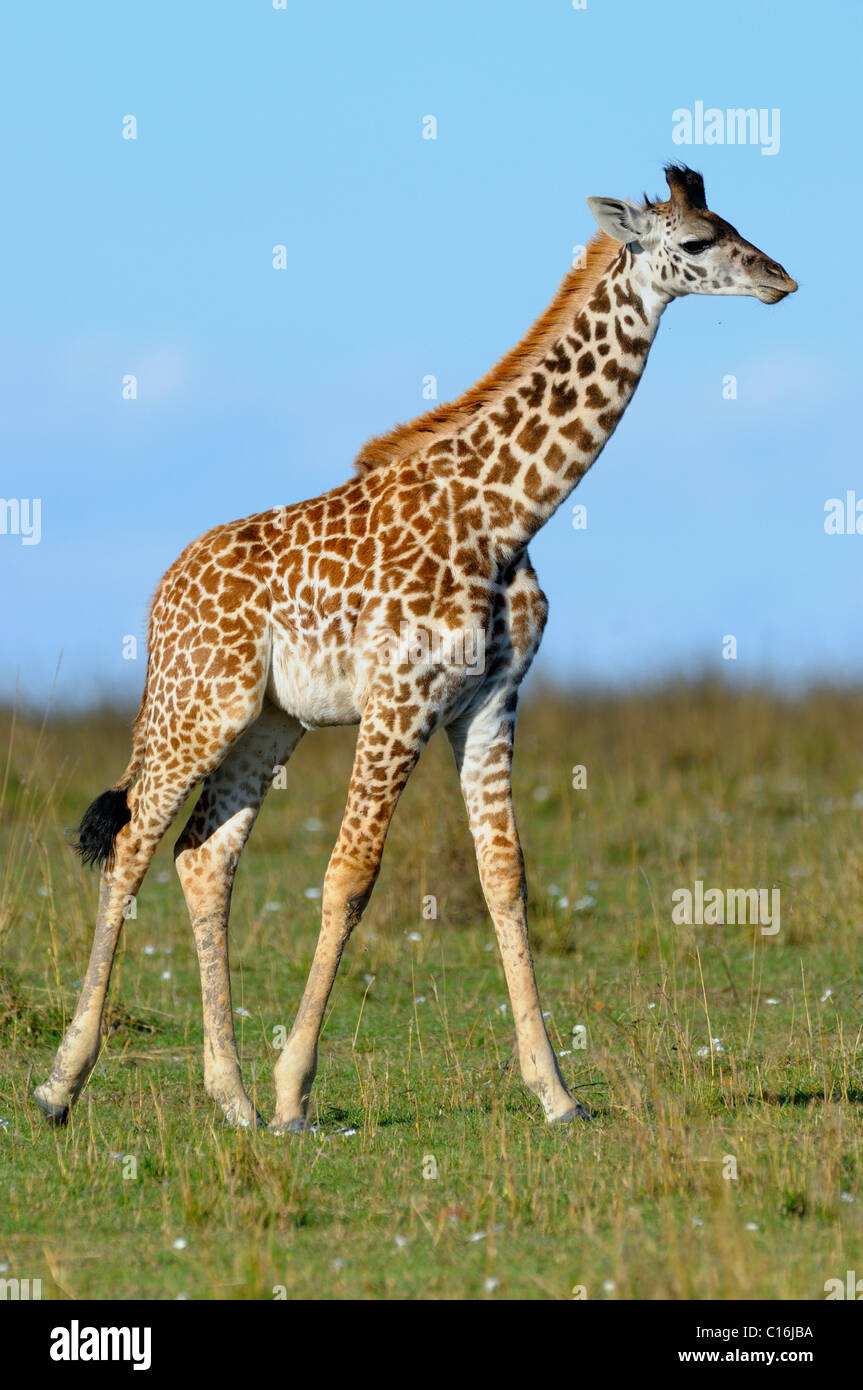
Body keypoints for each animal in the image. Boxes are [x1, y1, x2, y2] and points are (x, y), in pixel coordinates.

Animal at [34, 165, 796, 1131]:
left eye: (734, 225)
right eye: (697, 241)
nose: (780, 279)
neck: (507, 515)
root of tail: (164, 592)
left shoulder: (490, 700)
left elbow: (505, 875)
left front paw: (555, 1092)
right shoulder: (401, 696)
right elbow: (350, 874)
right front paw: (295, 1094)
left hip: (271, 723)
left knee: (204, 857)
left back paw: (228, 1096)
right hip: (198, 703)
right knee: (133, 845)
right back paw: (63, 1085)